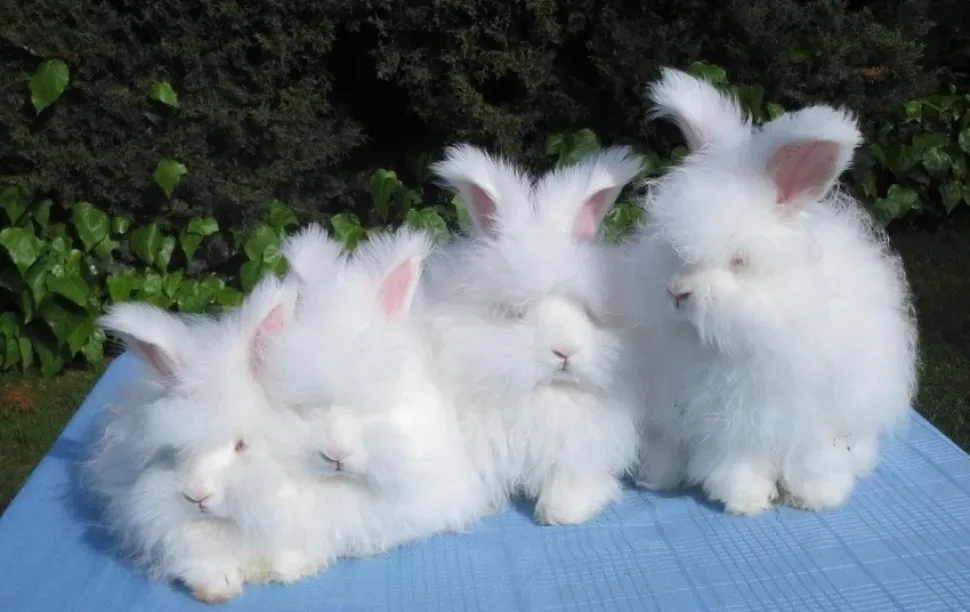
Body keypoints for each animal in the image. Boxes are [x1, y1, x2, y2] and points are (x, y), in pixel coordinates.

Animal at [422, 144, 645, 525]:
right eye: (515, 313)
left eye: (586, 311)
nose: (565, 351)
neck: (542, 397)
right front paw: (483, 504)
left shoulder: (582, 450)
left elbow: (570, 480)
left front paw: (563, 512)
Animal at [623, 67, 918, 515]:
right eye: (672, 249)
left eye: (738, 261)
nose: (677, 293)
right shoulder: (727, 425)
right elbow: (736, 463)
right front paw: (745, 500)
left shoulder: (803, 417)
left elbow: (814, 459)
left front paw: (816, 497)